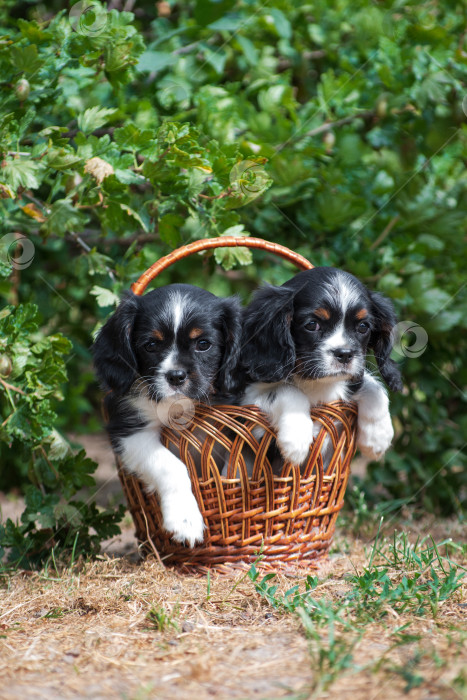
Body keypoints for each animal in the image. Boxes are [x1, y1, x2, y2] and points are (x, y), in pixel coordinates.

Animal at [93, 284, 243, 548]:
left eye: (203, 344)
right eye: (151, 345)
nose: (176, 376)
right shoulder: (130, 431)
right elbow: (171, 466)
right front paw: (185, 521)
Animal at [239, 266, 404, 464]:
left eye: (363, 327)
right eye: (312, 324)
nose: (345, 354)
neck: (317, 383)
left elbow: (373, 386)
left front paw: (378, 437)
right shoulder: (246, 405)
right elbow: (286, 390)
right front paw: (297, 438)